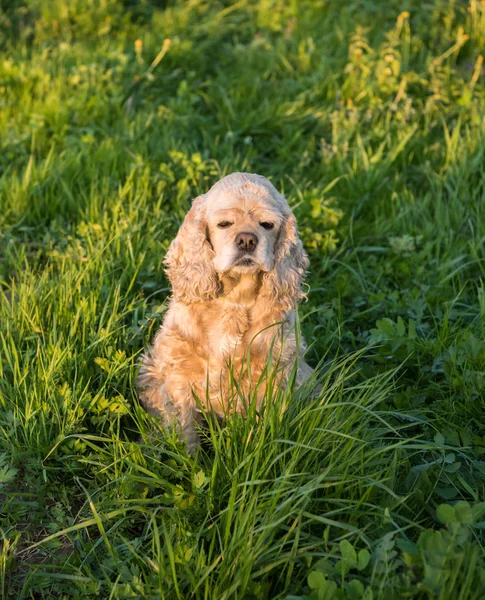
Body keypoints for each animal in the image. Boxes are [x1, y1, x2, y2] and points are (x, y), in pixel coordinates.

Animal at [137, 171, 310, 452]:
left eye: (267, 224)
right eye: (224, 224)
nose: (247, 240)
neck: (235, 301)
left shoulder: (275, 375)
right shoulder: (179, 376)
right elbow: (184, 432)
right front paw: (186, 459)